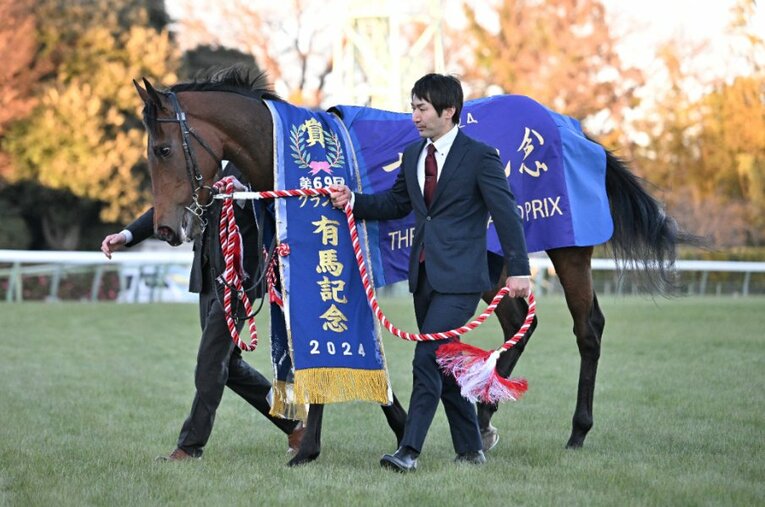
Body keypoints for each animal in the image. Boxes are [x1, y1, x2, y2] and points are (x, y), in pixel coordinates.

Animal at [133, 66, 694, 464]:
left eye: (162, 149)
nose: (167, 229)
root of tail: (574, 129)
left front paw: (313, 445)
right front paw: (383, 427)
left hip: (566, 245)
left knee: (588, 328)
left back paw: (576, 430)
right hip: (489, 255)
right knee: (518, 322)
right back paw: (483, 416)